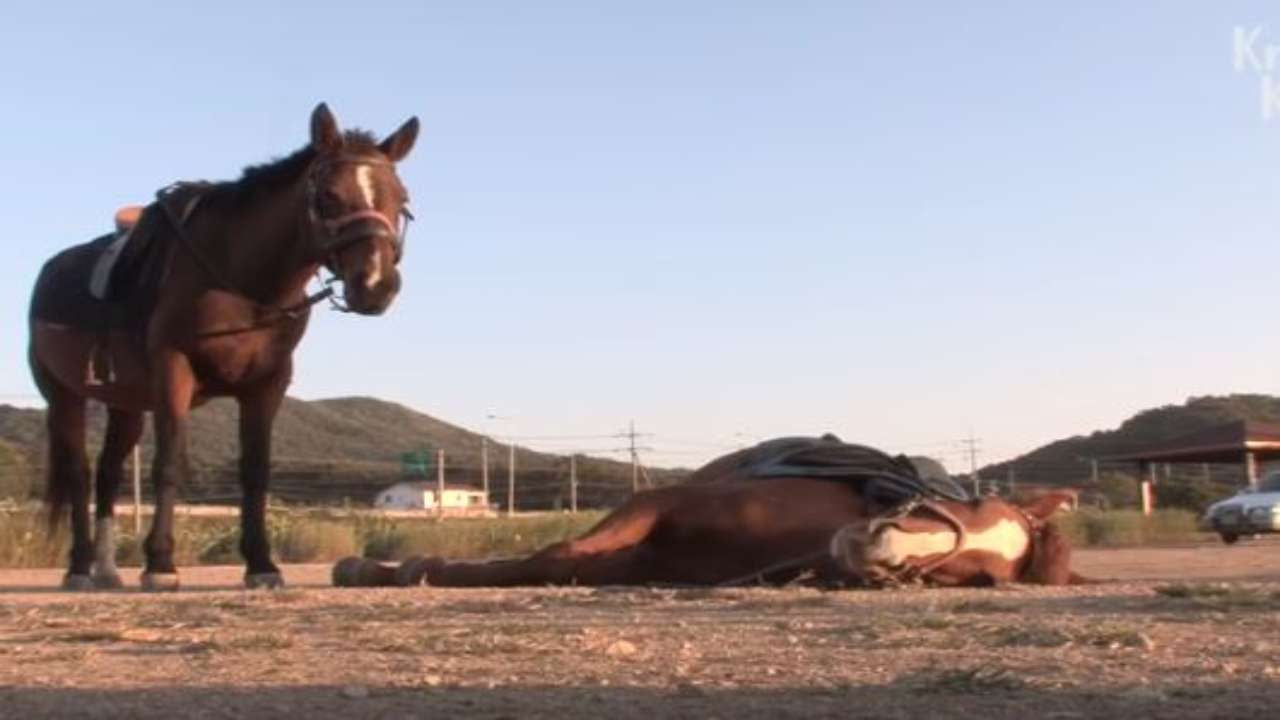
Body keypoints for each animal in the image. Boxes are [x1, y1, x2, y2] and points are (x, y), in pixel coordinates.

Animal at [29, 103, 419, 591]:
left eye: (401, 201)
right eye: (329, 196)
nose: (376, 285)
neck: (241, 279)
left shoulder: (267, 384)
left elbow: (255, 472)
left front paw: (262, 564)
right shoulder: (173, 370)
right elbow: (169, 464)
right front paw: (160, 563)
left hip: (125, 405)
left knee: (107, 473)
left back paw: (106, 570)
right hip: (64, 396)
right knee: (80, 475)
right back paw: (80, 567)